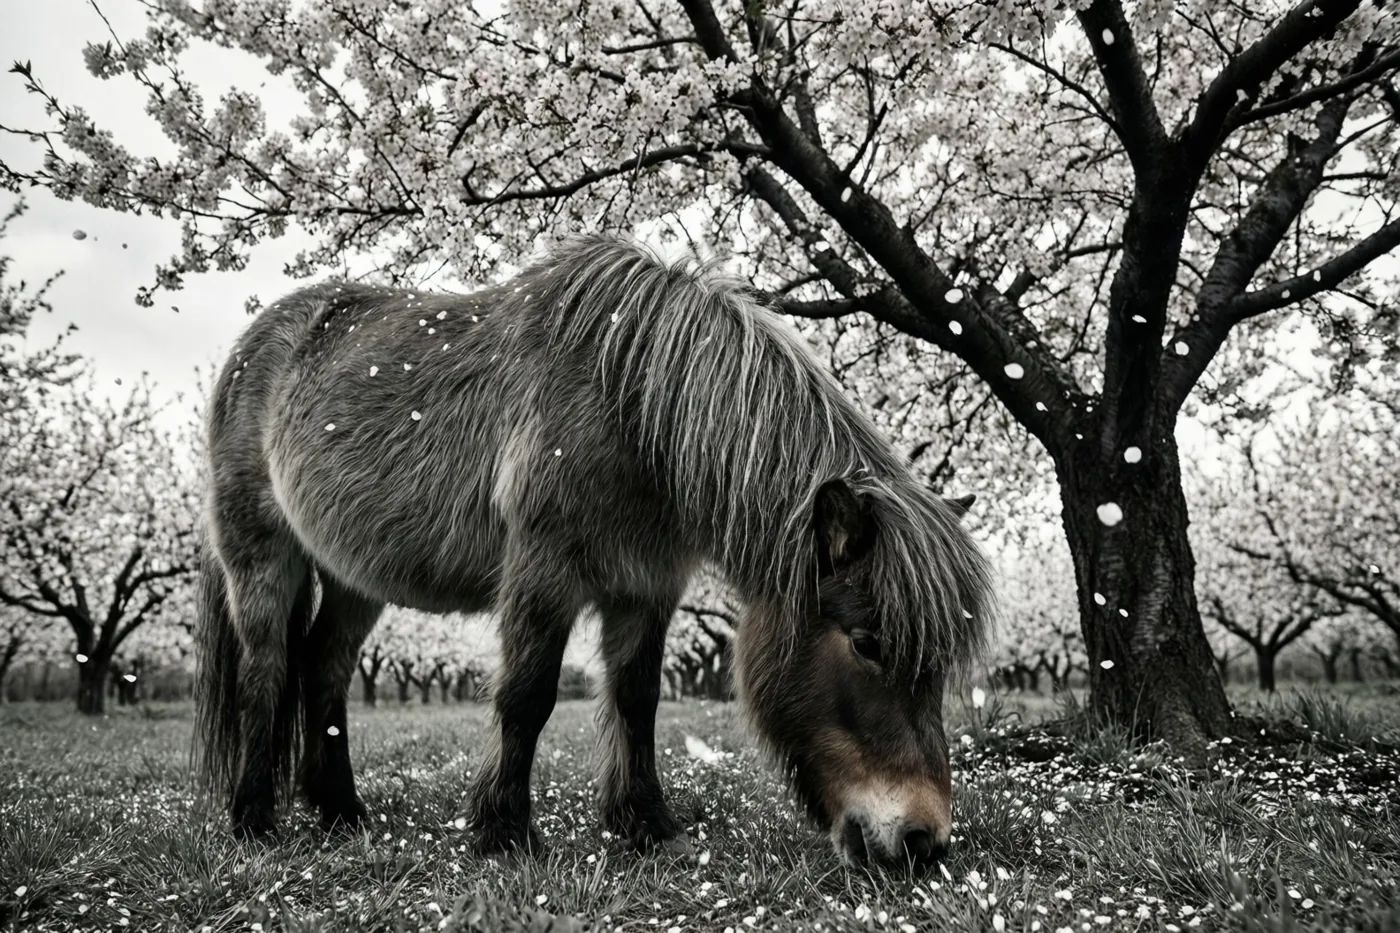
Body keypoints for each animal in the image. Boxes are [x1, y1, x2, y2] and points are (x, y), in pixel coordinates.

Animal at [193, 235, 994, 867]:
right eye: (866, 643)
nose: (923, 840)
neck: (632, 403)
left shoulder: (646, 586)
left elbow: (637, 699)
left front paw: (646, 825)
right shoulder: (543, 574)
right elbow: (528, 696)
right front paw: (504, 832)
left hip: (353, 579)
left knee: (323, 669)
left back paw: (342, 814)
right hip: (263, 558)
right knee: (268, 672)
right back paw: (255, 820)